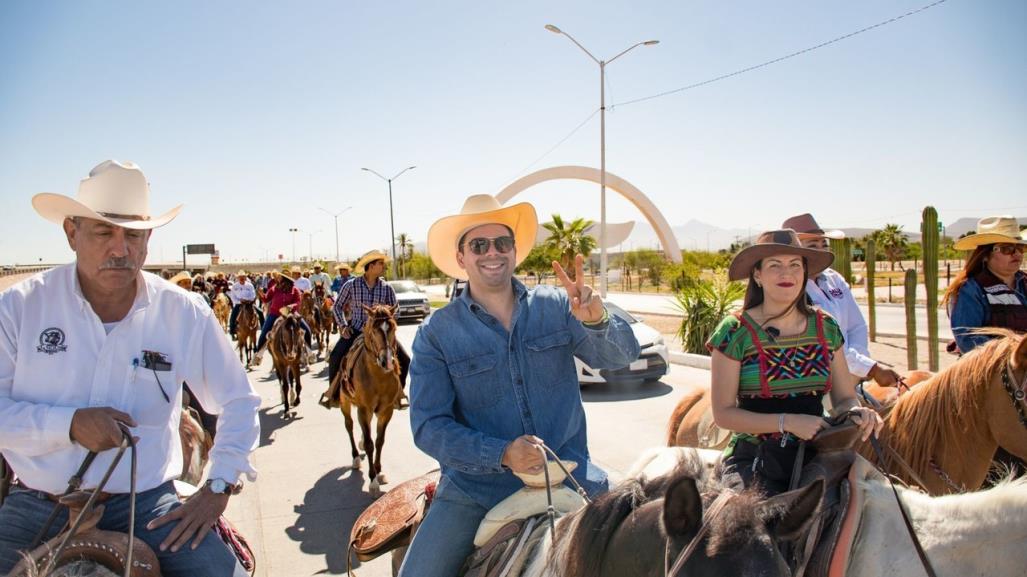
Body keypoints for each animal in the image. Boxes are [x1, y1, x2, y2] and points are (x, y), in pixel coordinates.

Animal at [336, 303, 400, 492]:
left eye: (393, 327)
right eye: (374, 330)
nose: (387, 361)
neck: (378, 376)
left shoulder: (386, 410)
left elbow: (379, 441)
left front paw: (379, 472)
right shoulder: (364, 409)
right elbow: (371, 444)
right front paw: (373, 481)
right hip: (345, 402)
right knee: (349, 425)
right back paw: (356, 458)